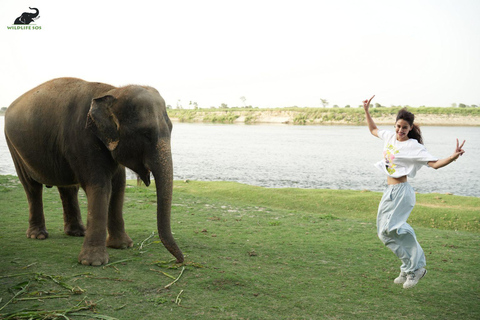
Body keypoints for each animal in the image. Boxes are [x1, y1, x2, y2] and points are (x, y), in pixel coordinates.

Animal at [3, 77, 184, 264]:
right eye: (146, 134)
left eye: (171, 129)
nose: (179, 261)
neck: (112, 92)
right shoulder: (82, 138)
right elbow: (101, 186)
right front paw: (93, 262)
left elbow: (118, 186)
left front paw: (123, 246)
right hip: (14, 146)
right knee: (32, 187)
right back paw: (37, 235)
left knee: (68, 189)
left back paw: (77, 232)